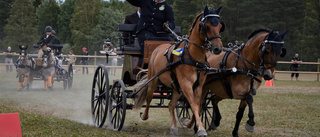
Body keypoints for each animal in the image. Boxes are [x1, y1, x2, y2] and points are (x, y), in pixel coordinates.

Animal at [134, 6, 224, 136]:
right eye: (206, 26)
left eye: (220, 26)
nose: (218, 49)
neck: (193, 57)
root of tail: (157, 48)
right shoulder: (186, 84)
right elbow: (194, 105)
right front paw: (201, 129)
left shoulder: (198, 86)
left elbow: (198, 105)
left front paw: (190, 124)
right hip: (153, 81)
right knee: (149, 97)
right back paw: (144, 116)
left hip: (176, 87)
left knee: (171, 105)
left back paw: (174, 127)